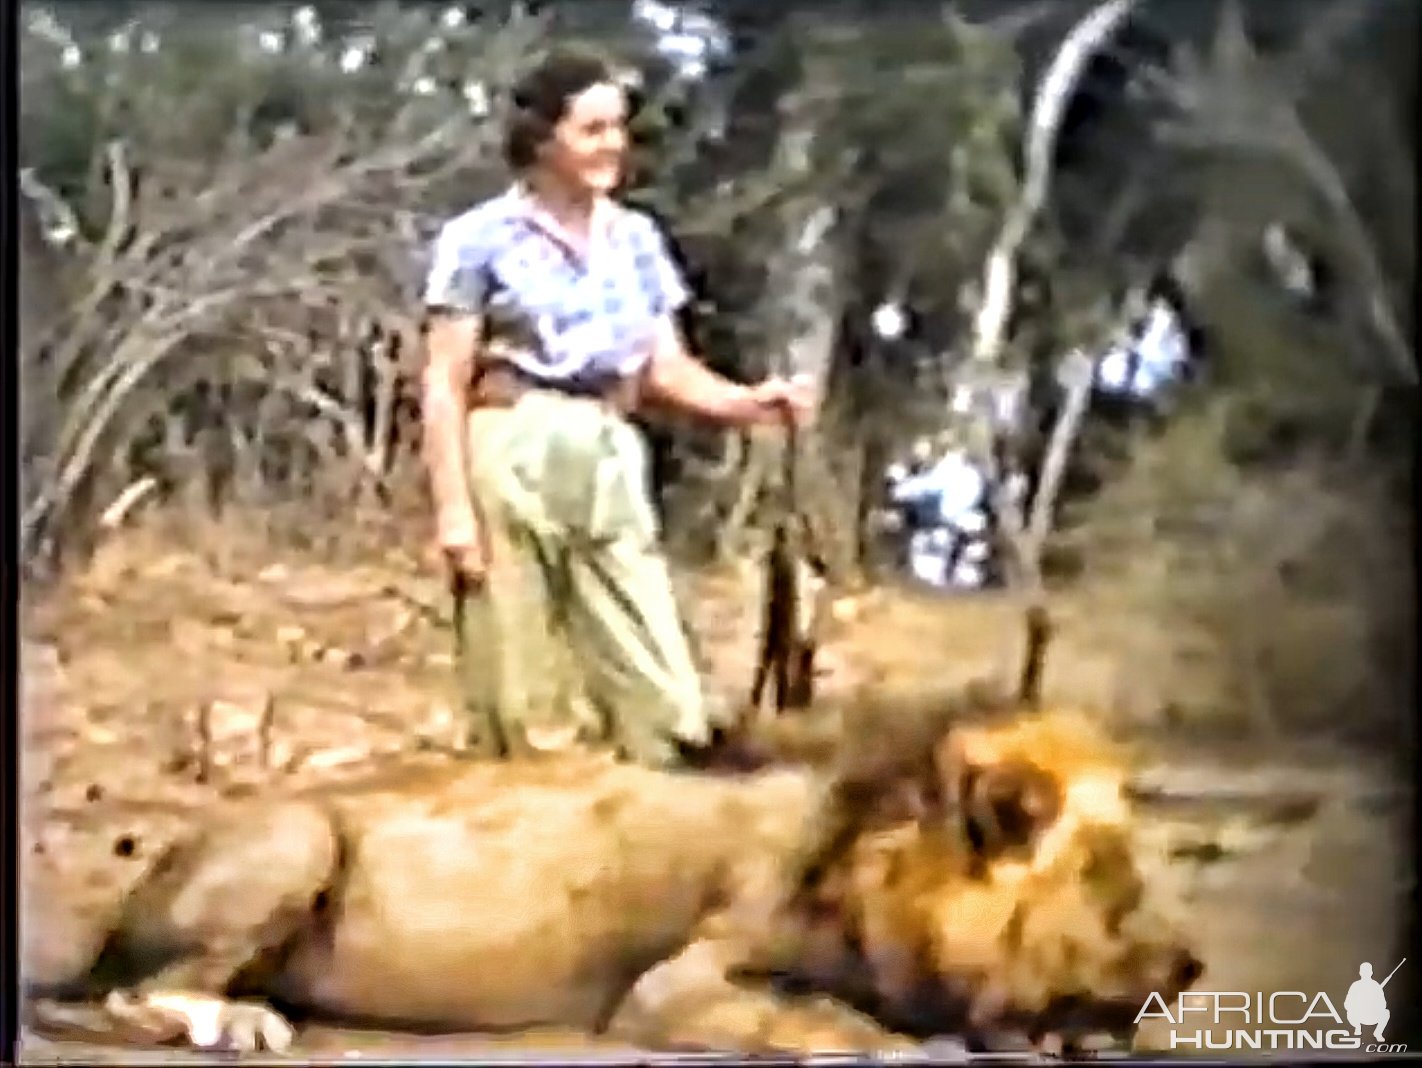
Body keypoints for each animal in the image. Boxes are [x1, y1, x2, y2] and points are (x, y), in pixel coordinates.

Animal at [22, 711, 1200, 1052]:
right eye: (1110, 876)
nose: (1191, 968)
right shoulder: (670, 989)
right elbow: (830, 1021)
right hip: (300, 836)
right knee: (133, 996)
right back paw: (236, 1024)